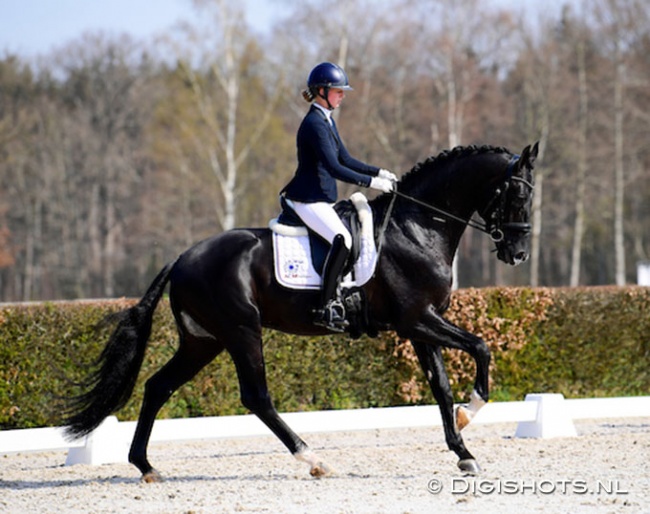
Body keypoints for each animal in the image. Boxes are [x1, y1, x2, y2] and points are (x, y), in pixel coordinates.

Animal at [64, 143, 536, 480]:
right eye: (515, 195)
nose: (518, 254)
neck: (416, 227)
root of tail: (182, 258)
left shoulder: (421, 326)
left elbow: (441, 387)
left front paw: (464, 452)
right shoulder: (418, 320)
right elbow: (481, 347)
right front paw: (472, 409)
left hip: (204, 341)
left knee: (158, 387)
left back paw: (146, 466)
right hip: (241, 331)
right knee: (256, 397)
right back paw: (314, 460)